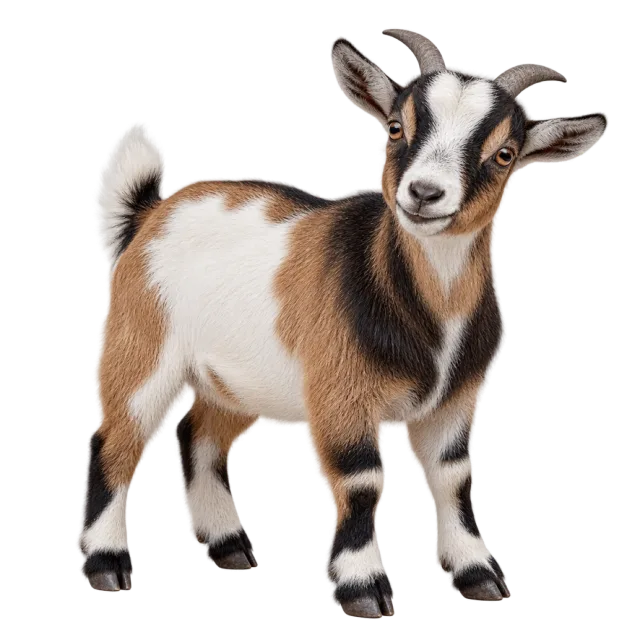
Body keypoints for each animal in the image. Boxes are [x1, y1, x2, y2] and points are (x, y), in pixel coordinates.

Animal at [82, 27, 606, 617]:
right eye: (397, 127)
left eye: (504, 153)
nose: (424, 193)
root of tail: (151, 214)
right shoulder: (341, 392)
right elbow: (361, 479)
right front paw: (364, 588)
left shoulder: (456, 400)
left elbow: (454, 476)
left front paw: (479, 575)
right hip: (142, 345)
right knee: (116, 438)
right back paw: (106, 564)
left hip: (239, 380)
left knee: (199, 434)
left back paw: (229, 546)